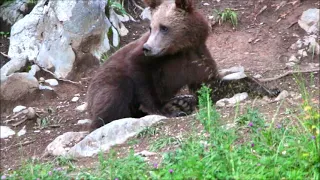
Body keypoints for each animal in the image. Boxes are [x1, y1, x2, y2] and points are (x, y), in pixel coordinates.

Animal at [87, 0, 280, 130]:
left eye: (164, 27)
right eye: (151, 27)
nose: (148, 48)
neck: (182, 48)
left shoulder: (197, 62)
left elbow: (213, 86)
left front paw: (270, 89)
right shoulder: (145, 63)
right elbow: (142, 83)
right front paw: (167, 110)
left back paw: (182, 102)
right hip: (103, 87)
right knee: (114, 96)